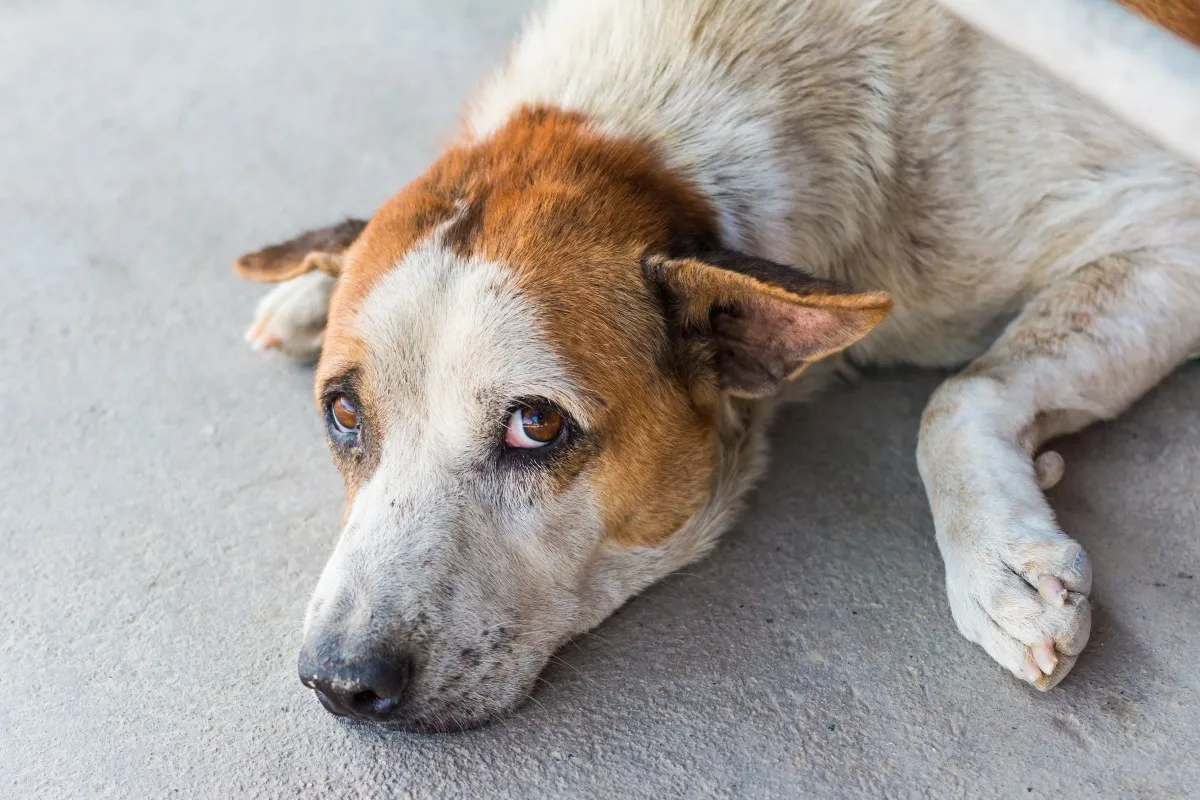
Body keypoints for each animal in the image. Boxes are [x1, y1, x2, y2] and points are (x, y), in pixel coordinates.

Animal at [234, 0, 1200, 734]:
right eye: (344, 414)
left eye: (536, 425)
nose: (340, 683)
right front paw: (313, 283)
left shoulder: (1170, 235)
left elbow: (961, 395)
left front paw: (1000, 563)